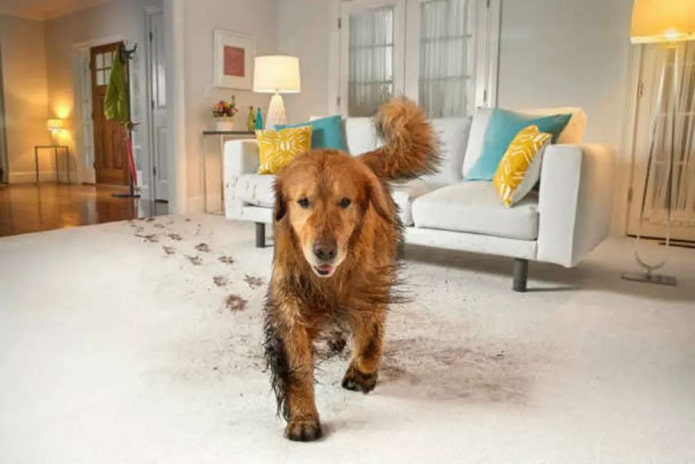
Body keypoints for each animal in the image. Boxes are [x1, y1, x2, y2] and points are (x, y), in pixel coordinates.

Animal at [263, 97, 439, 441]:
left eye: (345, 201)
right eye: (303, 201)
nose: (324, 251)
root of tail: (361, 160)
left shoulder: (372, 285)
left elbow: (371, 337)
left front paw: (362, 372)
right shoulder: (289, 298)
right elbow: (296, 362)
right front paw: (303, 416)